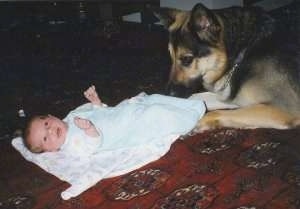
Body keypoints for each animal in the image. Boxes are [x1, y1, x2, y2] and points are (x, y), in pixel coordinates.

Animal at [152, 2, 300, 131]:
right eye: (171, 57)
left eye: (187, 59)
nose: (168, 93)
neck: (243, 51)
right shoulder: (232, 97)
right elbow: (196, 98)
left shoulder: (285, 109)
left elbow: (216, 112)